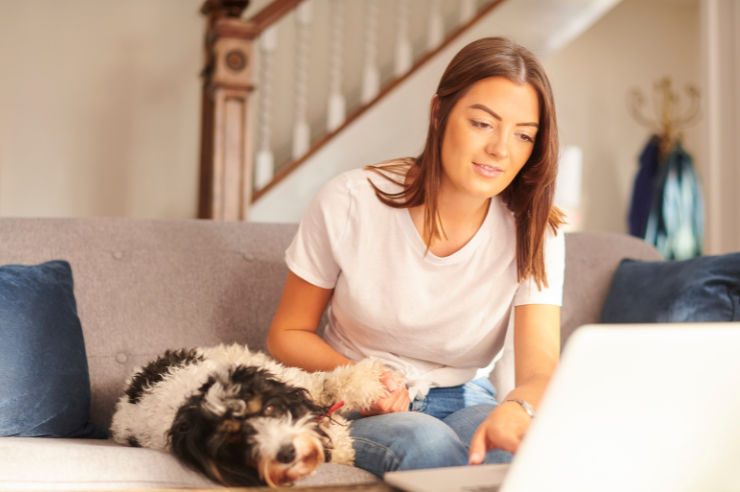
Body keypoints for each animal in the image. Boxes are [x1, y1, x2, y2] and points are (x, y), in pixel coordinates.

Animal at [110, 344, 394, 486]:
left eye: (268, 409)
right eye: (234, 440)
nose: (288, 453)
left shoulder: (287, 381)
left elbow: (326, 385)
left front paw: (373, 381)